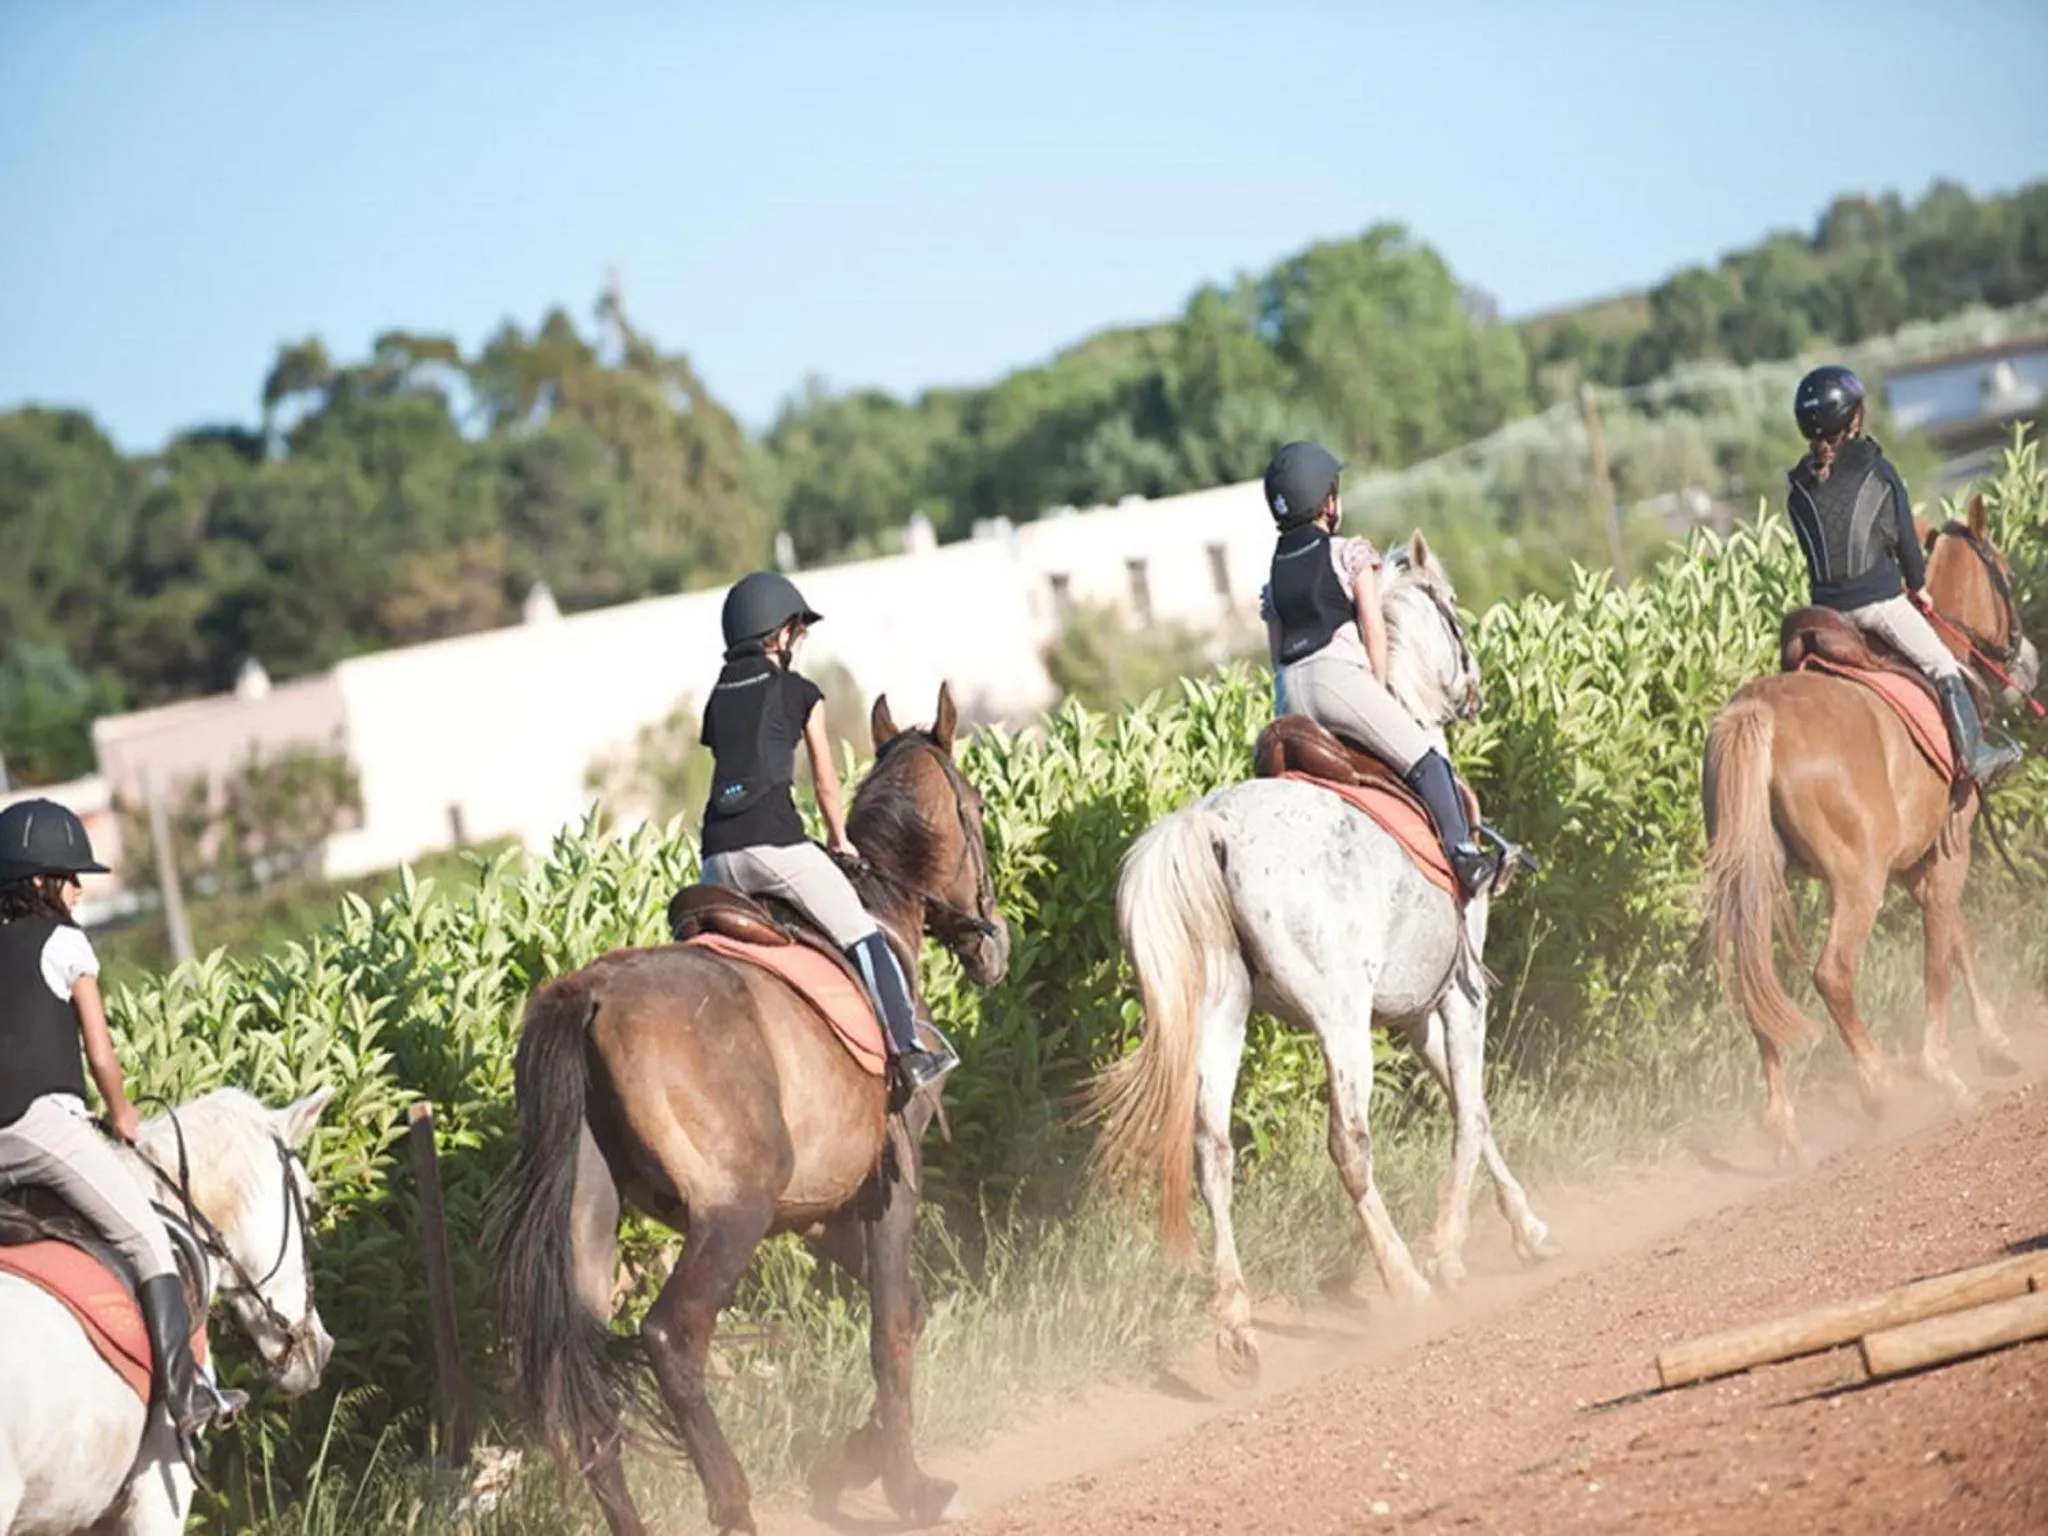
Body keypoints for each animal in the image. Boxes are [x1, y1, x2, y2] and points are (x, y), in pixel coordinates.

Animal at [495, 683, 1009, 1536]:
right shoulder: (889, 1189)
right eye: (974, 807)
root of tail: (586, 994)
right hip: (732, 1212)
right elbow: (891, 1338)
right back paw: (733, 1502)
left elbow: (909, 1312)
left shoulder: (823, 1211)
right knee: (672, 1338)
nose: (992, 945)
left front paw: (852, 1461)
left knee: (584, 1390)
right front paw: (907, 1486)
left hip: (586, 1224)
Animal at [1089, 533, 1558, 1384]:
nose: (1474, 690)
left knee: (1212, 1154)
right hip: (1339, 1022)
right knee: (1350, 1143)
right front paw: (1451, 1251)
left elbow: (1468, 1105)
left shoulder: (1414, 1012)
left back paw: (1238, 1330)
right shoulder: (1457, 993)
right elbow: (1471, 1110)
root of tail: (1212, 826)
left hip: (1222, 1018)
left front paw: (1528, 1230)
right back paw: (1405, 1279)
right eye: (1453, 610)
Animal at [1703, 495, 2039, 1164]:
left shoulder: (1917, 863)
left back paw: (1785, 1128)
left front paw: (1993, 1044)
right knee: (1833, 973)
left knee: (1756, 994)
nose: (2030, 665)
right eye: (2006, 572)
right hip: (1858, 880)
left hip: (1753, 883)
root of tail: (1756, 711)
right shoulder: (1947, 851)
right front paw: (1944, 1068)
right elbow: (1941, 954)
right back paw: (1879, 1086)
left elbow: (1956, 937)